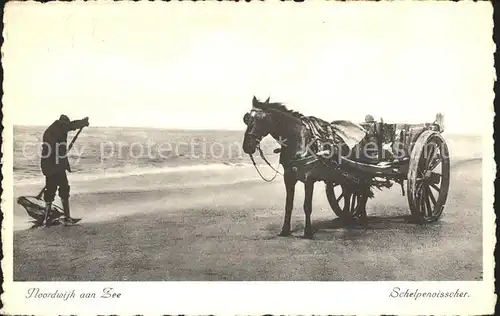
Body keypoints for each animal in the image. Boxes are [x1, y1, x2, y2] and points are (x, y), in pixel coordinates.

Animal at [242, 95, 376, 238]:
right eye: (247, 119)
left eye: (262, 119)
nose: (247, 146)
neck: (299, 140)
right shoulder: (288, 177)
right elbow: (288, 205)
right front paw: (285, 230)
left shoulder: (309, 178)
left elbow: (307, 206)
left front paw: (308, 232)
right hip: (345, 175)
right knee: (349, 192)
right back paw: (347, 217)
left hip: (360, 171)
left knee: (362, 191)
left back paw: (362, 218)